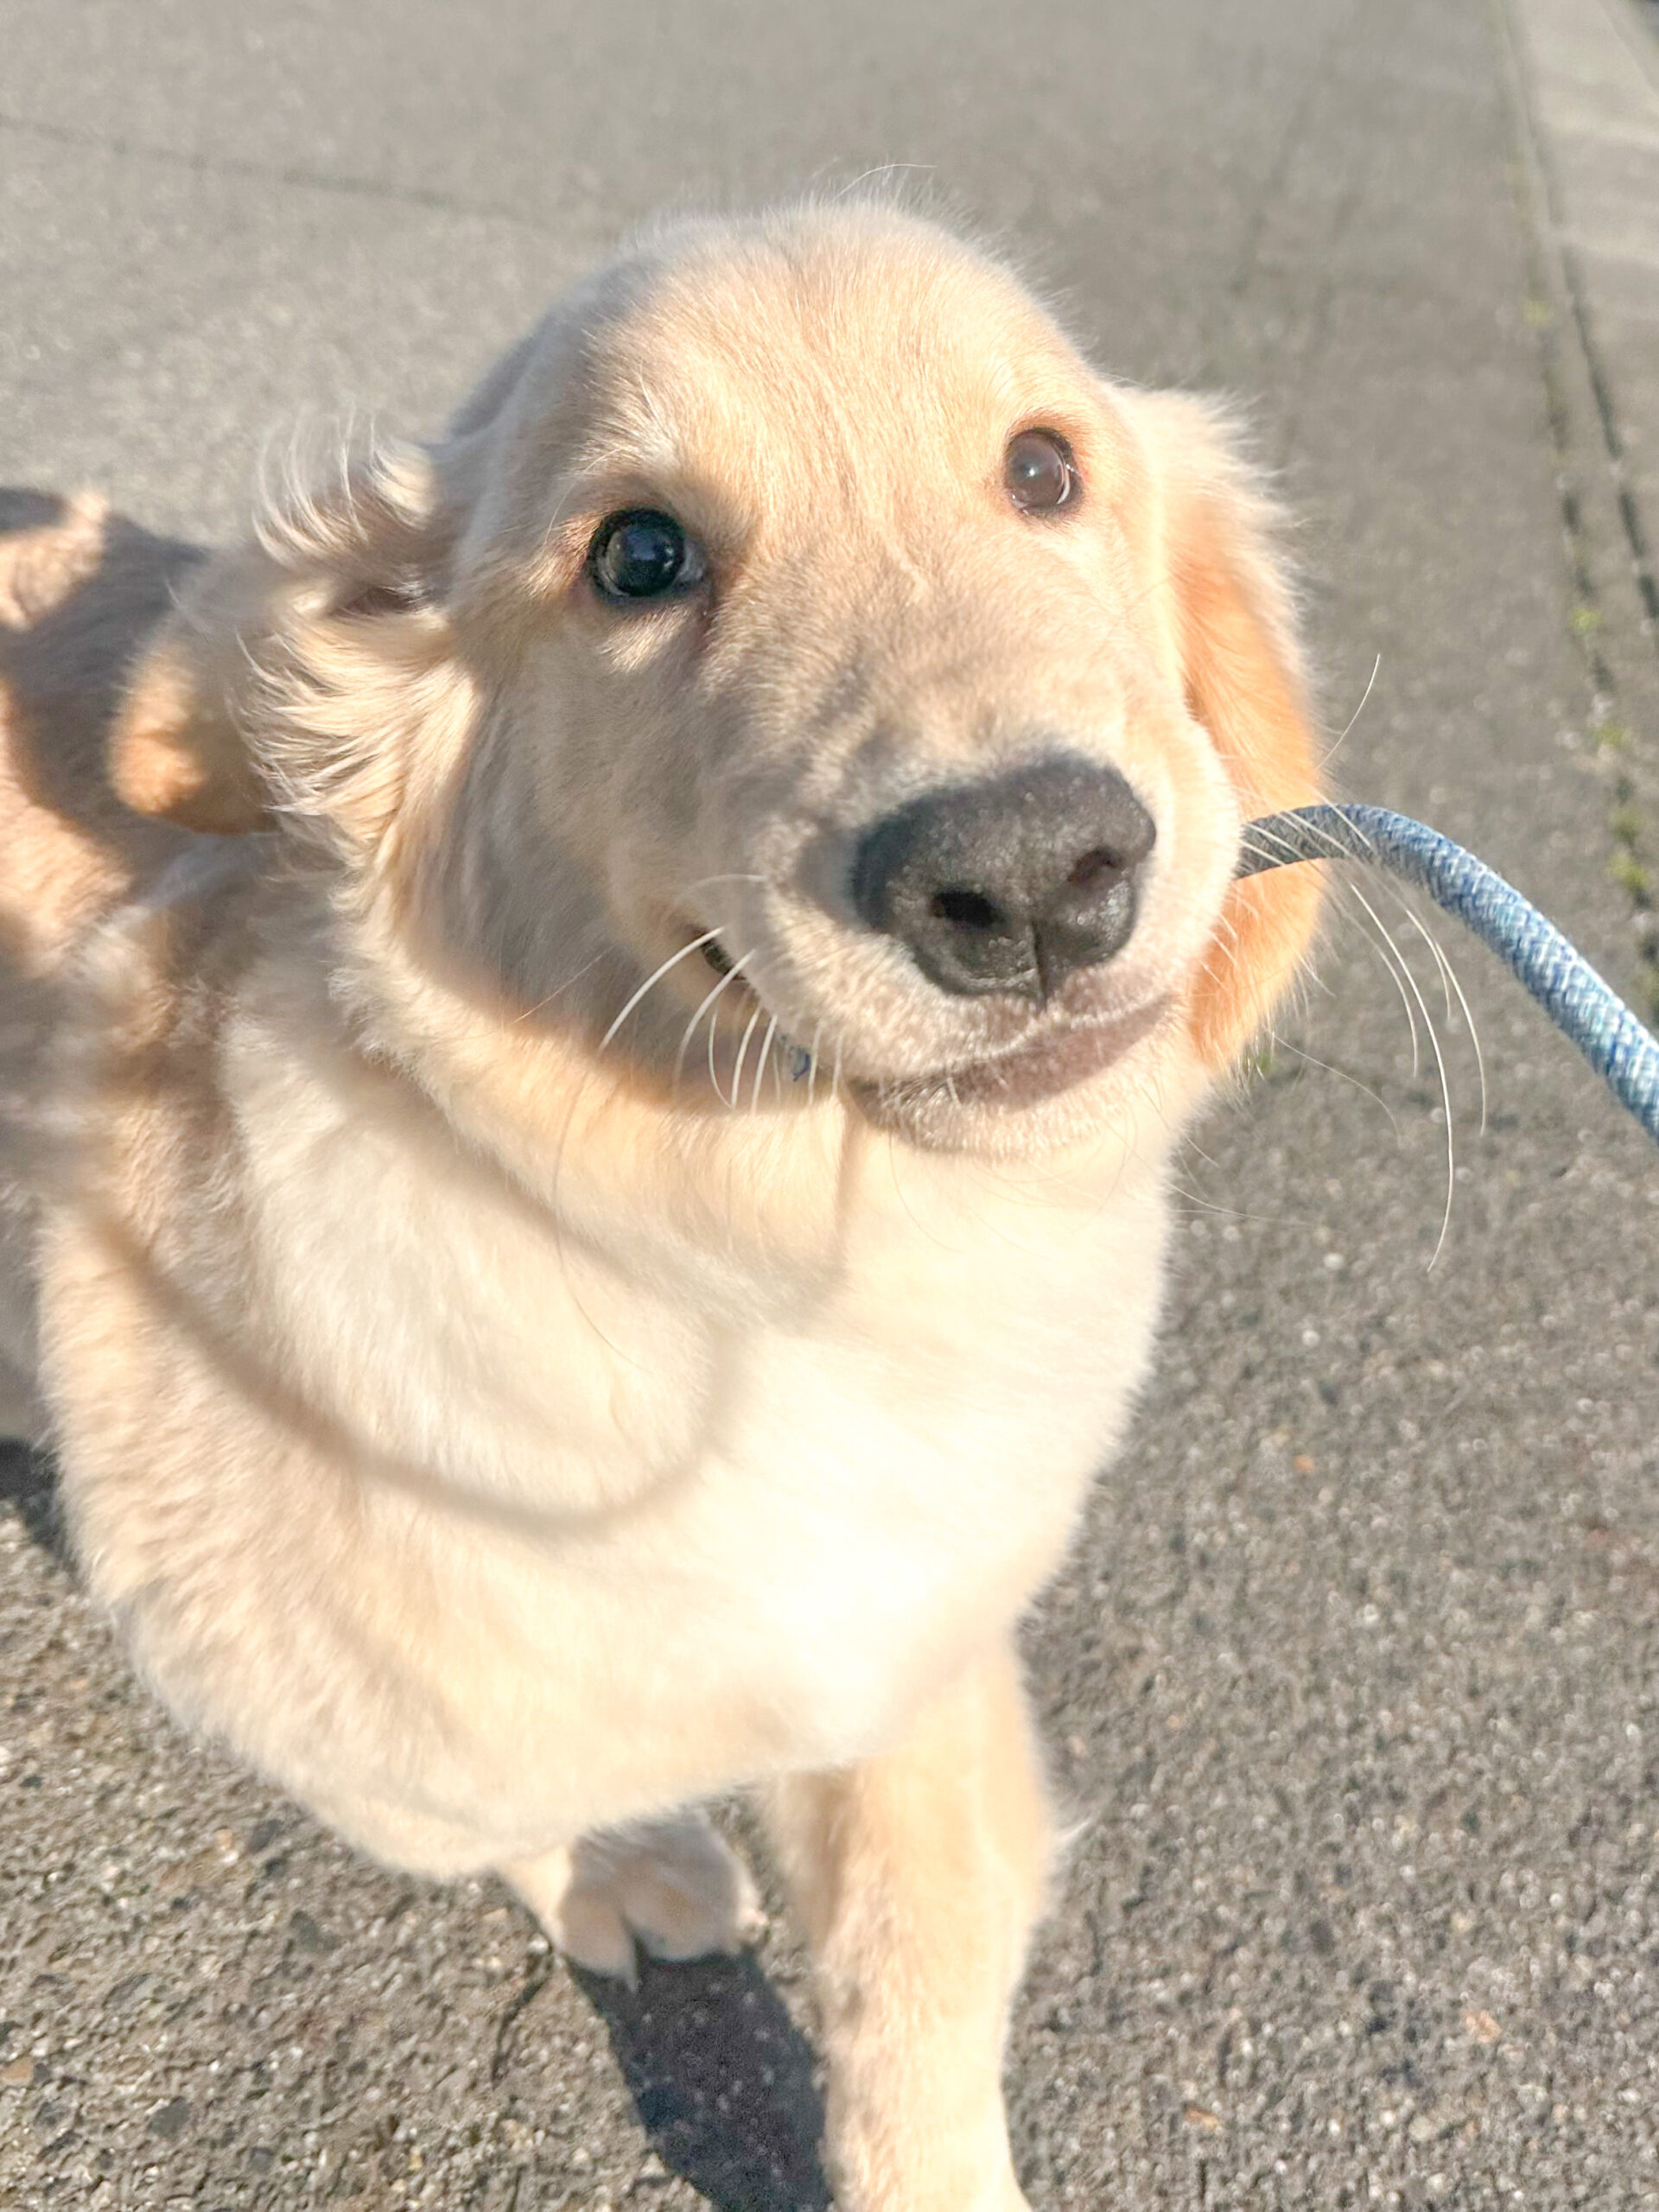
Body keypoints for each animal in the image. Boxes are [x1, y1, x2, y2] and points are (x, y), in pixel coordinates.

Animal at [0, 201, 1321, 2209]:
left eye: (1046, 467)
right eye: (638, 554)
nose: (1032, 877)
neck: (761, 1286)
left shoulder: (922, 1637)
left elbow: (922, 1975)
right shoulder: (298, 1676)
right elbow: (497, 1783)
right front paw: (618, 1861)